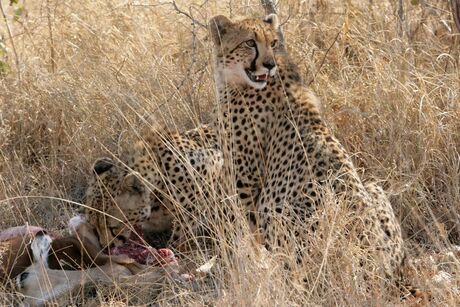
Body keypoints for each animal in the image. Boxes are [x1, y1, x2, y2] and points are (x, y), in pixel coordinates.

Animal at [208, 14, 406, 288]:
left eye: (273, 42)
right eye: (249, 42)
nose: (269, 64)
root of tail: (383, 272)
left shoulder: (245, 180)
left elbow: (245, 228)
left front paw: (251, 265)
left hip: (278, 207)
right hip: (372, 186)